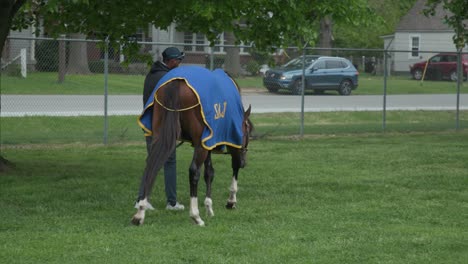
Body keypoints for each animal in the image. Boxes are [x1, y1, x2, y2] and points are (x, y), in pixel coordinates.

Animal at [132, 65, 252, 226]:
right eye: (248, 130)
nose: (245, 161)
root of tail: (176, 82)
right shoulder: (226, 142)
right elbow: (233, 167)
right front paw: (231, 201)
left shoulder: (208, 142)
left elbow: (209, 173)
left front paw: (209, 207)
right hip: (199, 146)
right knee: (193, 171)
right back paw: (195, 215)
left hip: (160, 135)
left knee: (151, 165)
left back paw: (140, 212)